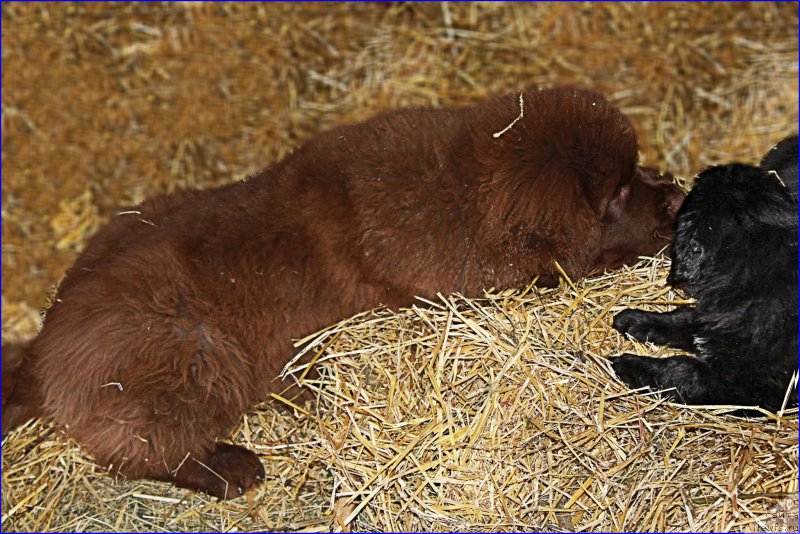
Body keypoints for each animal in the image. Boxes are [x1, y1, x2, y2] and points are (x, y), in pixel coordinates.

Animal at [3, 86, 684, 500]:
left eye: (637, 170)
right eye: (619, 192)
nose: (677, 193)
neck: (463, 191)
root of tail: (41, 352)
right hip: (191, 349)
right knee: (147, 448)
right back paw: (232, 468)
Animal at [608, 152, 796, 414]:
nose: (723, 166)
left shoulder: (747, 384)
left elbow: (681, 371)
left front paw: (627, 363)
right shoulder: (712, 320)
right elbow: (683, 318)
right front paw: (637, 319)